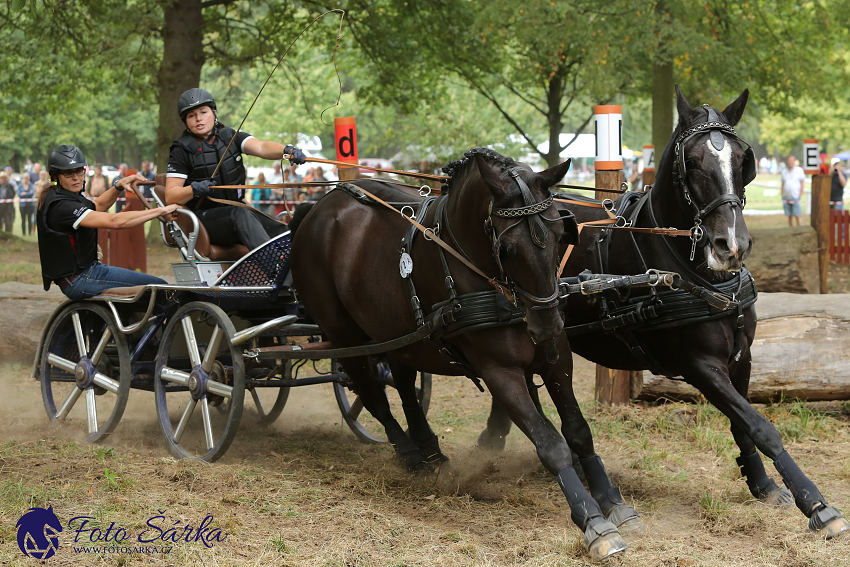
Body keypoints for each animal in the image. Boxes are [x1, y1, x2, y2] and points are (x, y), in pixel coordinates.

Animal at [290, 149, 636, 560]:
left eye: (558, 235)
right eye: (507, 248)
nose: (547, 323)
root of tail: (317, 207)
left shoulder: (557, 359)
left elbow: (579, 432)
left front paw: (611, 500)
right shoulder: (499, 371)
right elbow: (550, 444)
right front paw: (592, 520)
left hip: (399, 335)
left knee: (403, 384)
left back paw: (430, 450)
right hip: (344, 335)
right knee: (372, 394)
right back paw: (409, 454)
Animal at [476, 90, 848, 540]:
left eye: (744, 160)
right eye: (693, 162)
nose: (731, 245)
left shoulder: (741, 359)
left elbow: (743, 423)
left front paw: (761, 483)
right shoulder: (699, 365)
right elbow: (762, 426)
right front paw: (815, 503)